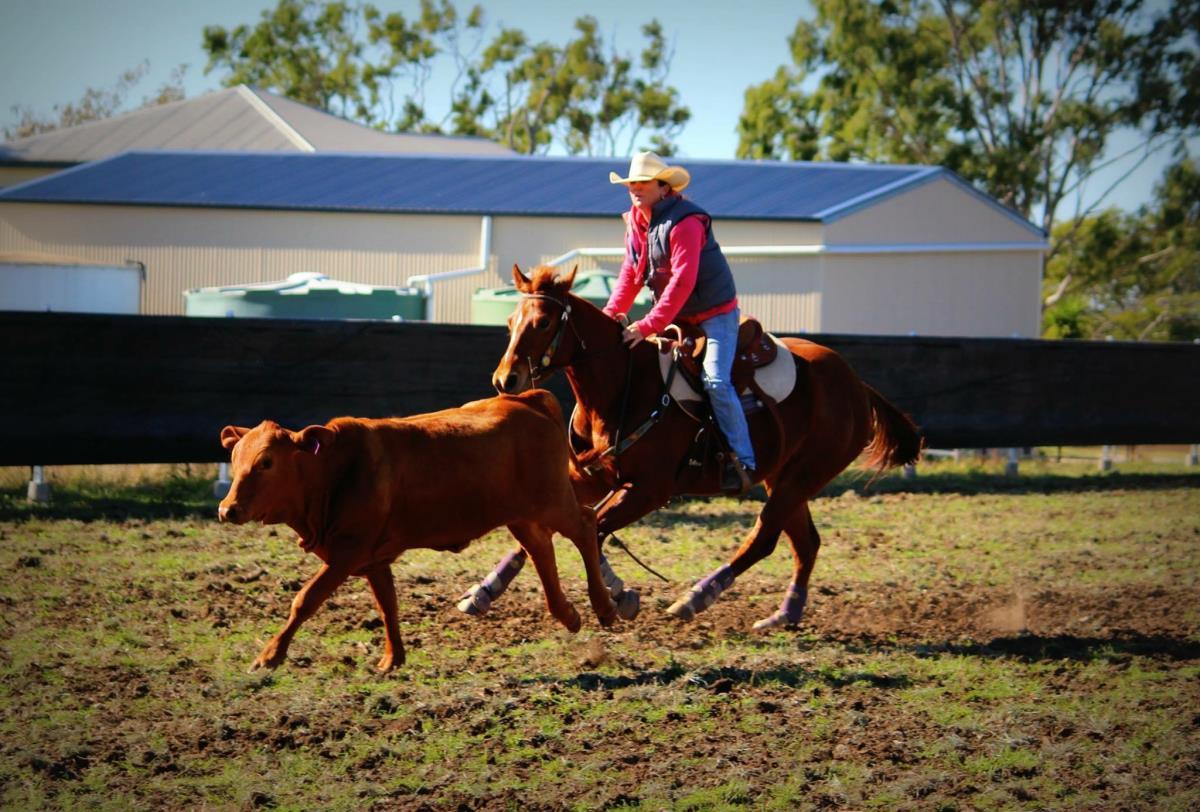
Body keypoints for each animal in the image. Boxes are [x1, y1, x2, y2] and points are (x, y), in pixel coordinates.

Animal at [217, 390, 617, 673]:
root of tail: (526, 399)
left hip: (553, 501)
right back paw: (569, 615)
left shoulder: (347, 553)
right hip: (520, 516)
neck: (333, 471)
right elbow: (387, 605)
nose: (227, 509)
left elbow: (305, 599)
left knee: (585, 527)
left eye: (266, 462)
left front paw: (269, 656)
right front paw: (392, 659)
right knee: (542, 550)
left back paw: (603, 607)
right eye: (234, 459)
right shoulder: (374, 560)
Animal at [465, 263, 921, 631]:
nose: (505, 379)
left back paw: (696, 597)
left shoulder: (650, 490)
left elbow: (590, 527)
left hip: (803, 476)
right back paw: (783, 615)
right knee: (804, 542)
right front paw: (483, 591)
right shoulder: (591, 477)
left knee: (764, 538)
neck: (624, 386)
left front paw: (620, 595)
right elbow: (555, 528)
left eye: (543, 322)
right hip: (784, 478)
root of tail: (856, 384)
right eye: (510, 321)